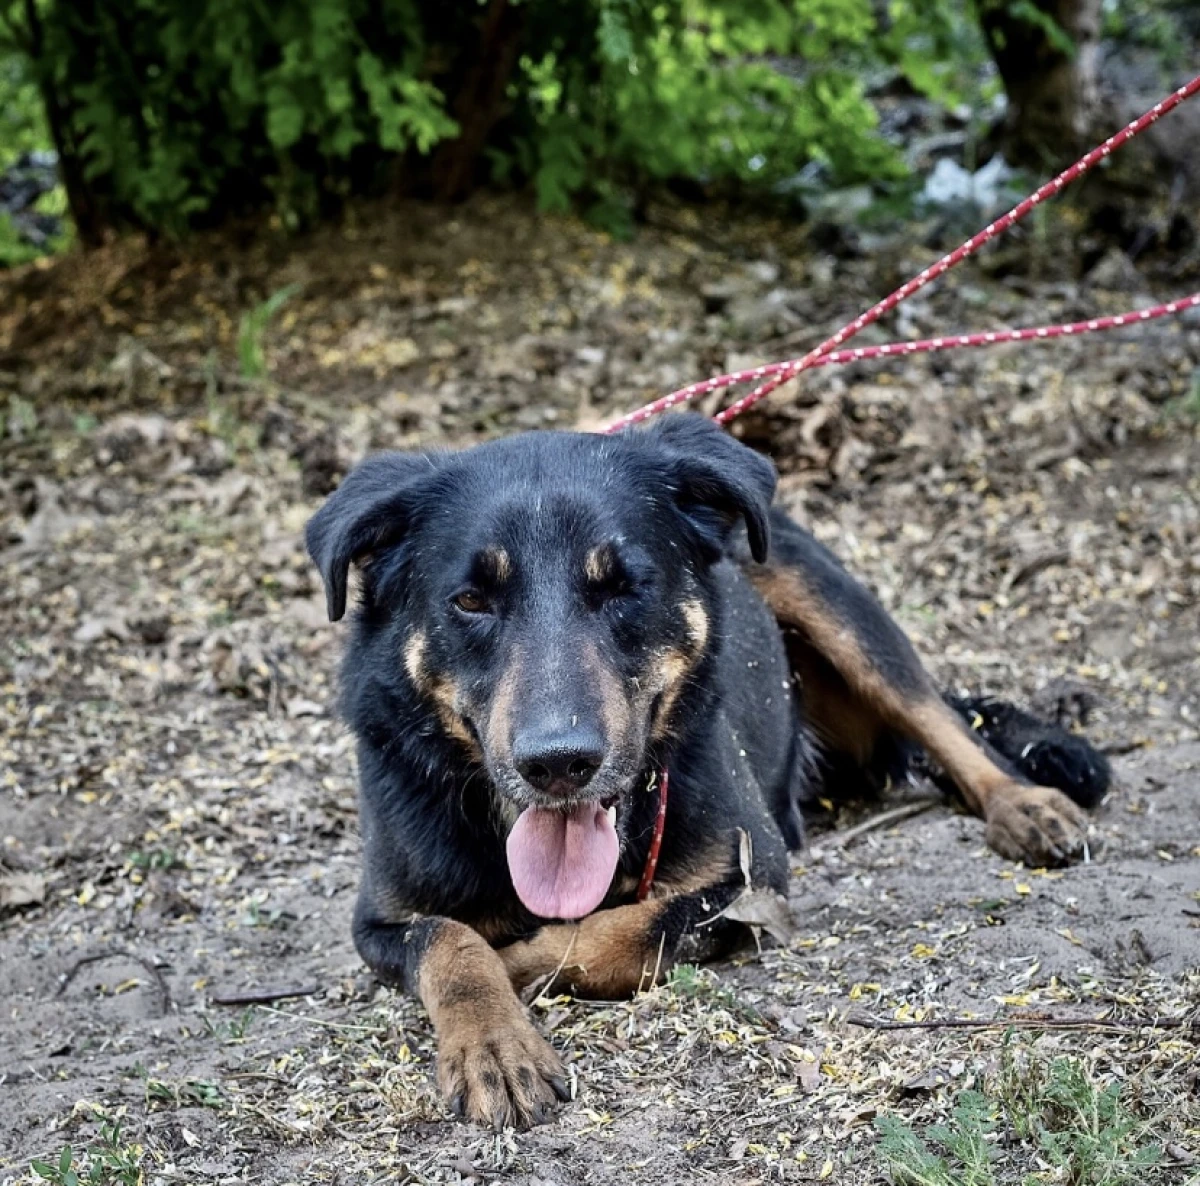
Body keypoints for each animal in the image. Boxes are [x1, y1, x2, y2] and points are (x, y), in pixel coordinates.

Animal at [306, 413, 1109, 1129]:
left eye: (623, 587)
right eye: (470, 600)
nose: (558, 764)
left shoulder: (750, 873)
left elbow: (622, 931)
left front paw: (526, 963)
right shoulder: (378, 920)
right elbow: (451, 944)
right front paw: (495, 1043)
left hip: (828, 601)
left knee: (942, 718)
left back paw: (1024, 803)